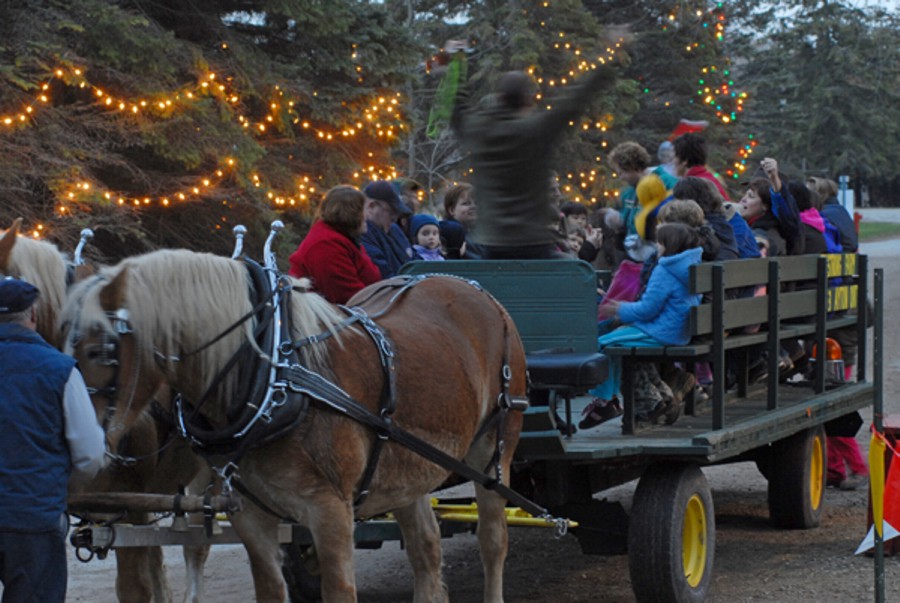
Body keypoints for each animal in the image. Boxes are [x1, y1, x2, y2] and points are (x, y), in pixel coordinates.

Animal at [61, 249, 528, 603]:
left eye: (100, 350)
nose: (78, 451)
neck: (274, 378)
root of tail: (468, 286)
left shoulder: (330, 513)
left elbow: (339, 592)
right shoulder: (253, 519)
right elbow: (270, 590)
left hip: (493, 452)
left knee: (493, 541)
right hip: (406, 468)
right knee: (425, 550)